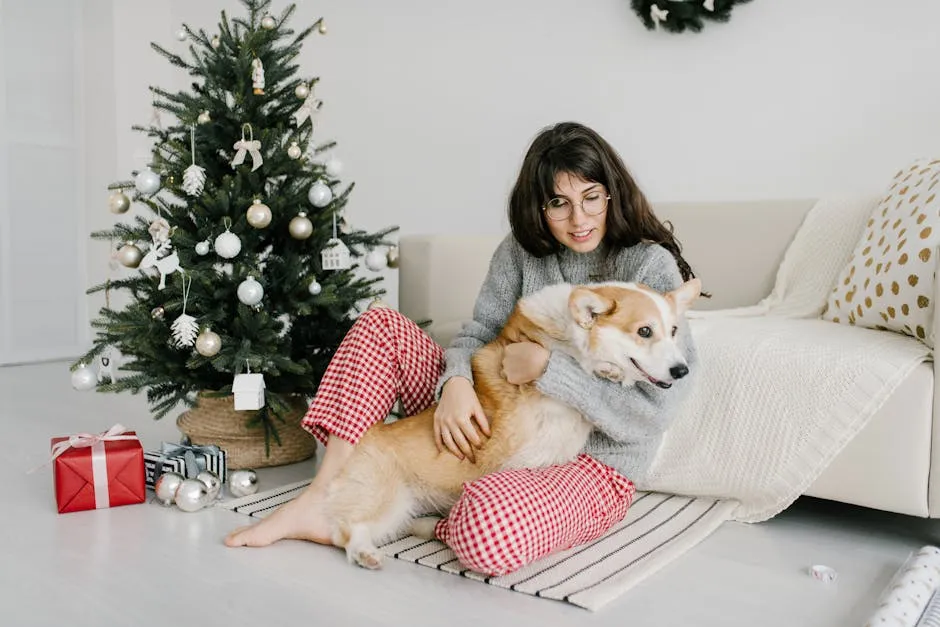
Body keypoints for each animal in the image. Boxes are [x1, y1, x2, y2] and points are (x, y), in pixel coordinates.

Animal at [324, 278, 696, 568]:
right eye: (644, 331)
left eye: (674, 331)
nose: (682, 371)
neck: (565, 329)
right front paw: (603, 367)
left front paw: (607, 370)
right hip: (387, 498)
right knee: (344, 530)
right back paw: (365, 553)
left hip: (403, 511)